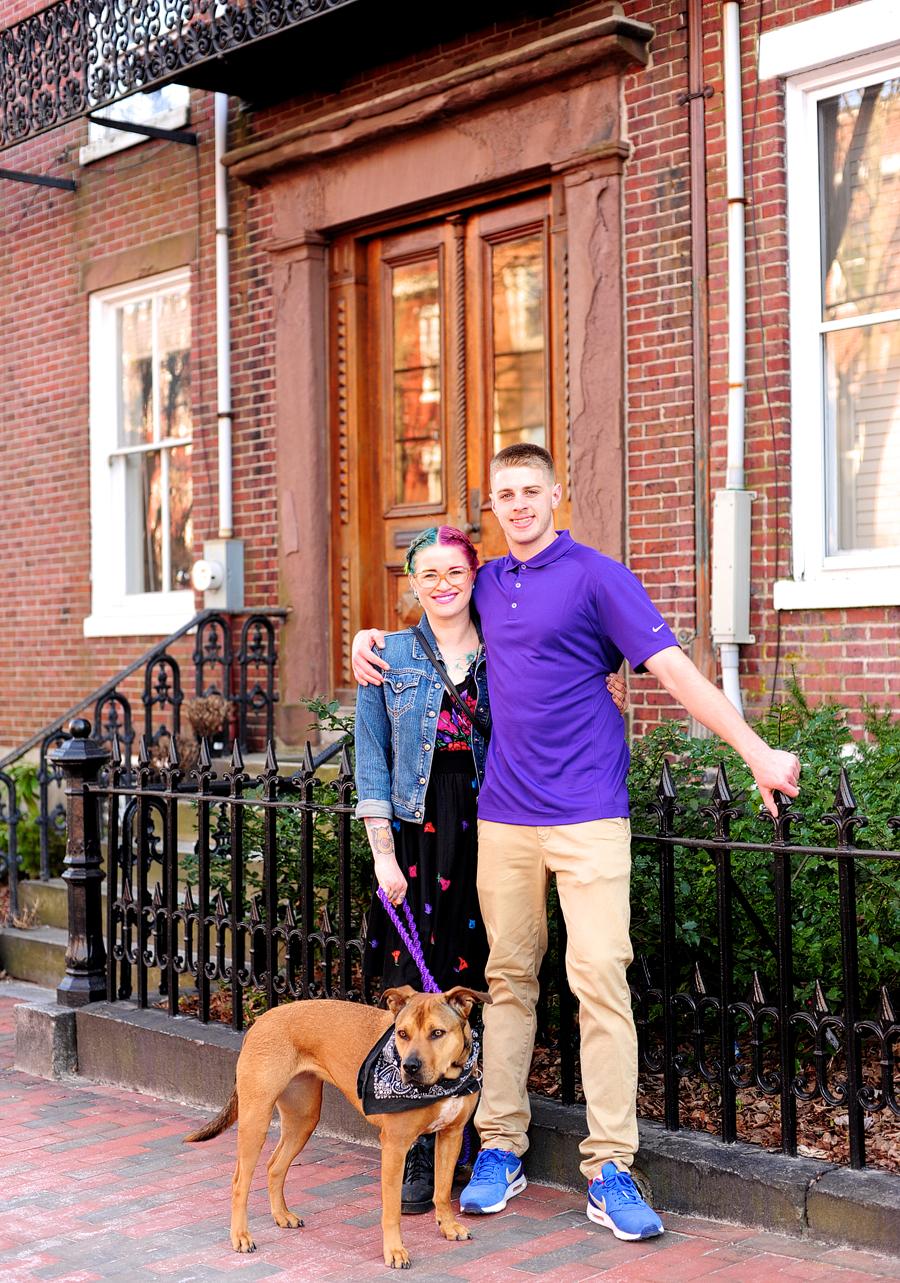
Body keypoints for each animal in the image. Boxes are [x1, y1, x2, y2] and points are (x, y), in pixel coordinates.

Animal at [184, 985, 490, 1267]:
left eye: (437, 1033)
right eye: (402, 1034)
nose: (409, 1066)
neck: (443, 1082)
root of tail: (259, 1020)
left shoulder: (451, 1136)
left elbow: (442, 1191)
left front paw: (448, 1227)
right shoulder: (395, 1145)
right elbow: (391, 1211)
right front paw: (394, 1251)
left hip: (303, 1120)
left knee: (274, 1166)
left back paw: (282, 1215)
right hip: (255, 1121)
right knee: (239, 1182)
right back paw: (241, 1236)